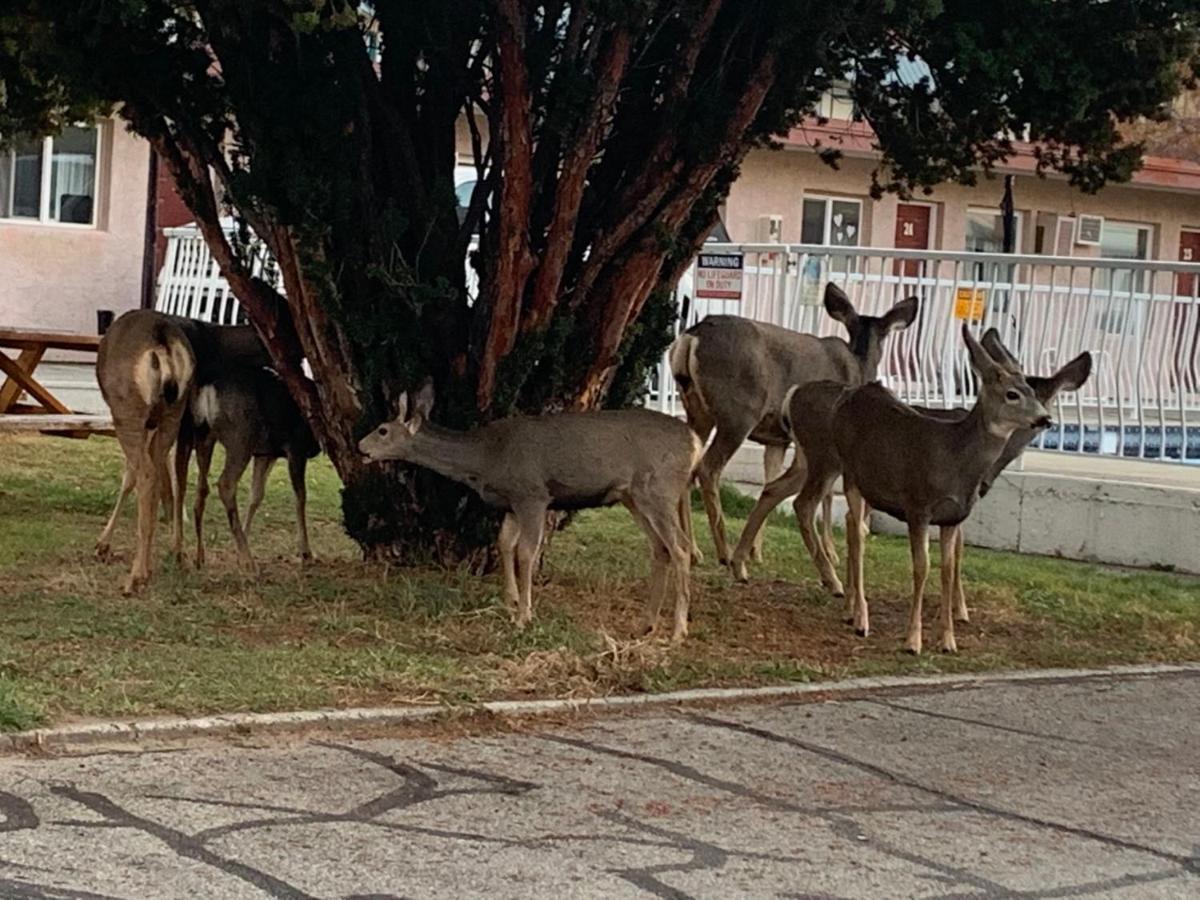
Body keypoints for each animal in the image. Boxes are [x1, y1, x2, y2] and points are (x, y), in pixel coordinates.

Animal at [94, 307, 195, 595]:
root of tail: (162, 342)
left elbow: (129, 477)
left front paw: (103, 545)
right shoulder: (156, 423)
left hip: (128, 409)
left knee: (147, 474)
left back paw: (137, 575)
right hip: (174, 412)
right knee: (172, 474)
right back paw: (176, 555)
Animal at [355, 384, 700, 643]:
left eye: (382, 430)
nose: (360, 447)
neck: (485, 458)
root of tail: (695, 443)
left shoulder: (532, 494)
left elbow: (526, 552)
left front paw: (524, 615)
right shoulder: (511, 502)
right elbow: (504, 544)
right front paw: (511, 604)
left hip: (658, 489)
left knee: (681, 548)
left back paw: (678, 631)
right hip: (634, 497)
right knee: (660, 548)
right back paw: (646, 624)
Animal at [667, 283, 916, 564]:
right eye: (885, 334)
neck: (858, 366)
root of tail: (691, 337)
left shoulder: (777, 441)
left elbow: (771, 481)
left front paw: (755, 550)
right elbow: (827, 494)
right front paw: (831, 552)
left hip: (697, 411)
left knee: (689, 466)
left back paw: (693, 550)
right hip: (738, 413)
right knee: (708, 469)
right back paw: (724, 552)